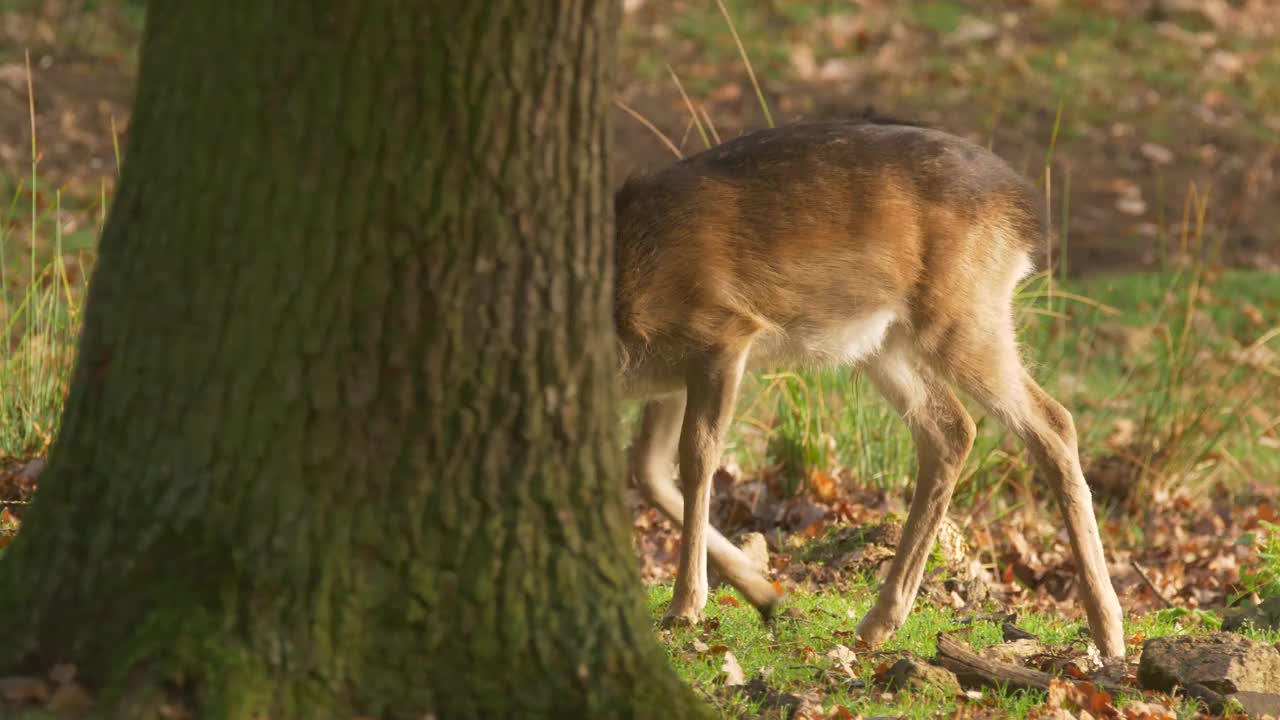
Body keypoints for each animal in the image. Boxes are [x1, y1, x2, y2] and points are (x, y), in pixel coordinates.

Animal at [619, 116, 1131, 655]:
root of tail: (1026, 211)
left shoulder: (720, 332)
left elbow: (697, 458)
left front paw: (686, 604)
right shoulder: (671, 376)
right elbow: (648, 469)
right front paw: (758, 586)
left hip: (964, 314)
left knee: (1054, 422)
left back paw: (1108, 630)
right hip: (886, 342)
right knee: (952, 429)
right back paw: (881, 620)